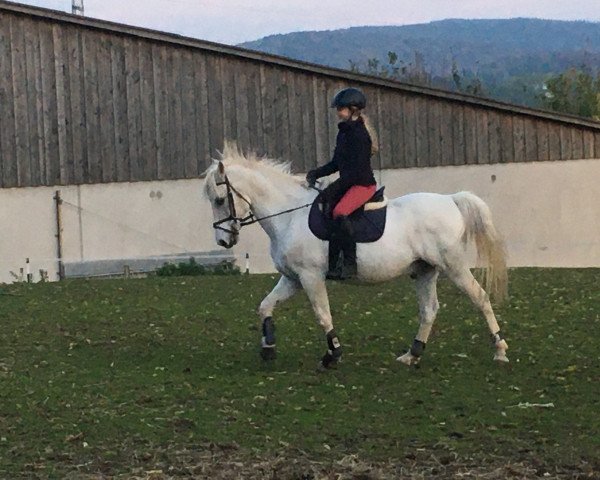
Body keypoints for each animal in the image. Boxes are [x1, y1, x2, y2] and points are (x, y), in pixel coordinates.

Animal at [204, 145, 508, 368]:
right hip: (424, 270)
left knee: (480, 297)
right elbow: (265, 306)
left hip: (453, 265)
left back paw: (500, 349)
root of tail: (450, 199)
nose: (223, 240)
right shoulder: (292, 278)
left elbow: (322, 314)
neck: (289, 216)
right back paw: (412, 354)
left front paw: (332, 355)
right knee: (429, 310)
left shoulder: (310, 276)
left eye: (219, 199)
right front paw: (268, 347)